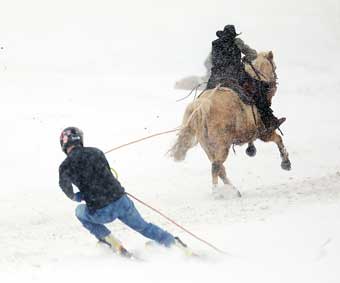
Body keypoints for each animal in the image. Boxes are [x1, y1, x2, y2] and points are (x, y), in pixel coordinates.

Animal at [169, 51, 290, 199]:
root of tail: (202, 105)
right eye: (274, 67)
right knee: (216, 167)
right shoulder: (264, 133)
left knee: (220, 168)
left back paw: (233, 190)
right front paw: (286, 163)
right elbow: (278, 139)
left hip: (208, 147)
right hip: (222, 146)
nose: (274, 83)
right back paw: (217, 192)